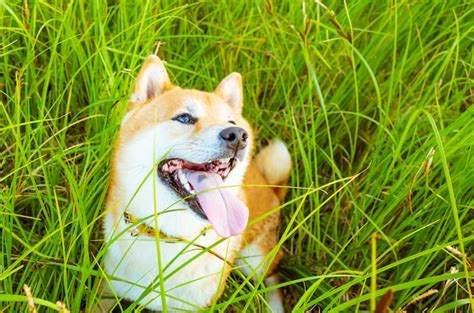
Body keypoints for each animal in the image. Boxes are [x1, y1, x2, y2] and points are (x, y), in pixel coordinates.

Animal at [100, 54, 290, 310]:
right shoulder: (108, 287)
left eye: (231, 121)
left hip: (255, 261)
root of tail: (271, 187)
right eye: (185, 118)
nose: (238, 135)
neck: (168, 236)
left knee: (272, 277)